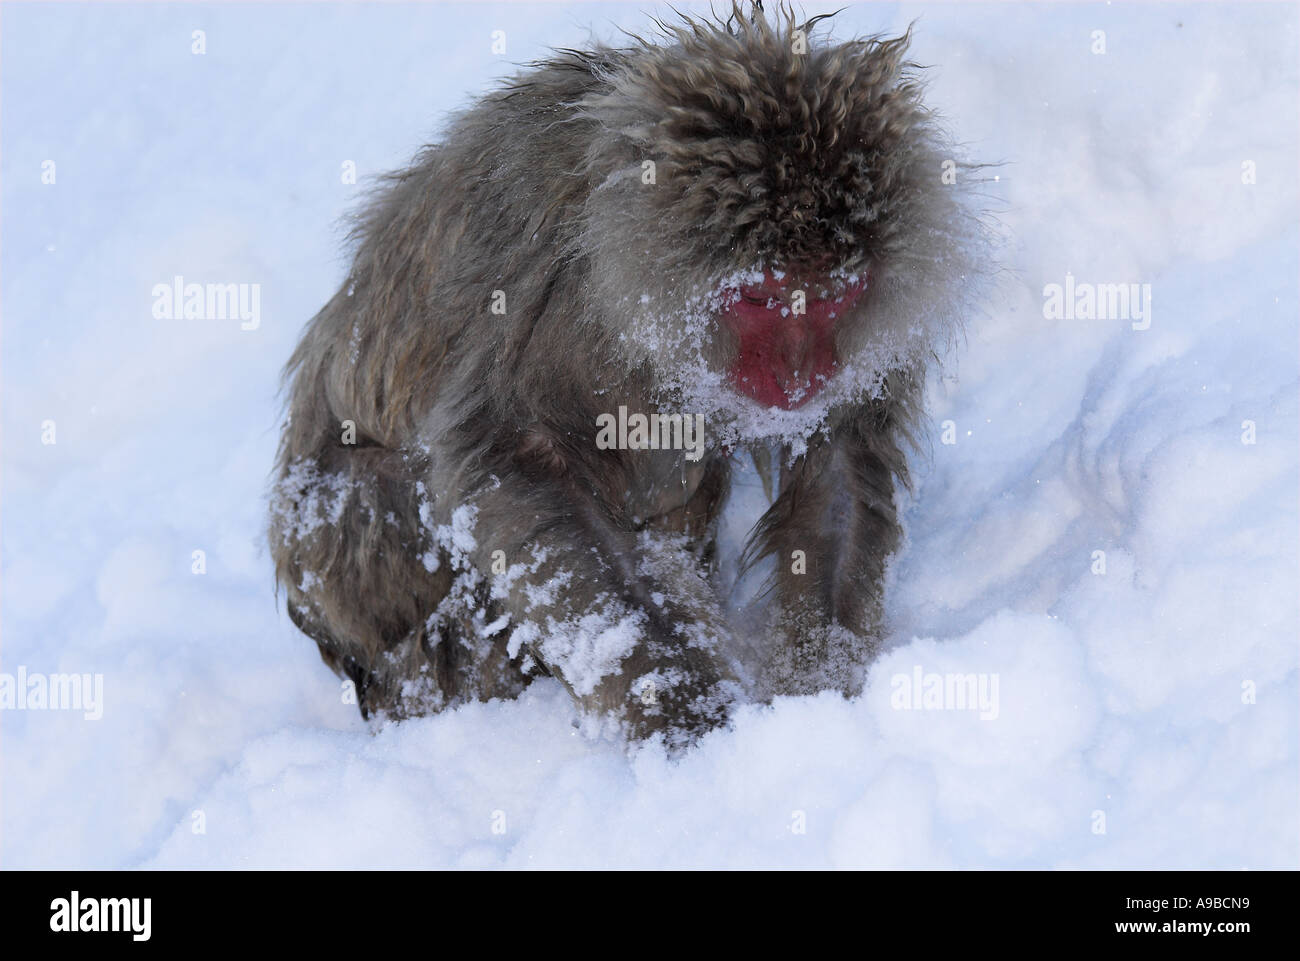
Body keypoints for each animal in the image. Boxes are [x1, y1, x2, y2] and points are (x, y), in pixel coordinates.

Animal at [271, 1, 982, 754]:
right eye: (761, 298)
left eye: (831, 297)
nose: (801, 372)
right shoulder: (561, 309)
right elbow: (518, 466)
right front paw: (695, 721)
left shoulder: (871, 341)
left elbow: (839, 463)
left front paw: (816, 692)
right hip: (328, 552)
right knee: (391, 505)